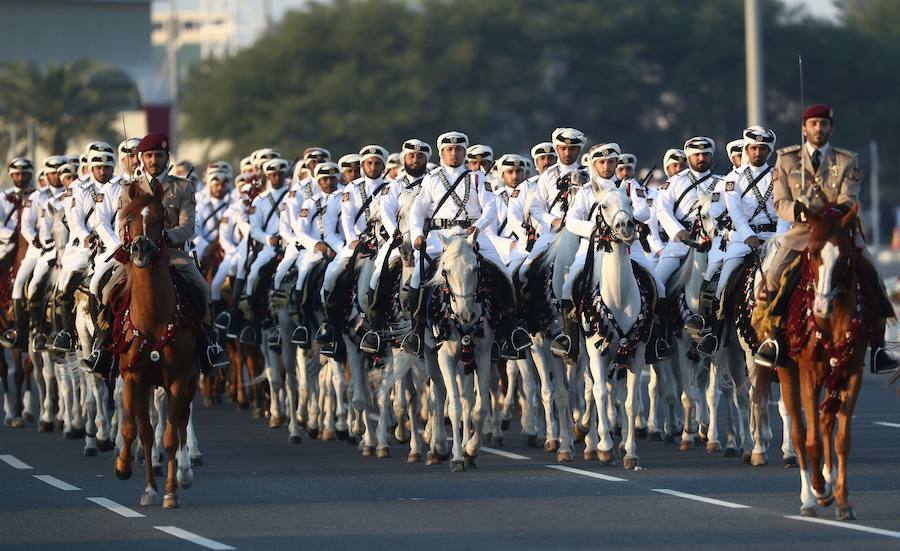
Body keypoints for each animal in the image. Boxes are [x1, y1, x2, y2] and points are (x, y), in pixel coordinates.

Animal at [111, 193, 199, 508]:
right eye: (128, 218)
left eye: (161, 216)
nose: (140, 249)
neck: (153, 319)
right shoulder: (133, 377)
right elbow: (139, 431)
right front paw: (133, 475)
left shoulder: (178, 379)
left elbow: (171, 436)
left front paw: (171, 491)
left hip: (190, 381)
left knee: (182, 418)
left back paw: (185, 470)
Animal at [756, 204, 876, 520]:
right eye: (812, 253)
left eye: (844, 257)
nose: (821, 306)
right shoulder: (807, 372)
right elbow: (809, 439)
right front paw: (819, 491)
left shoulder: (852, 372)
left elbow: (841, 439)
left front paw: (843, 501)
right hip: (788, 371)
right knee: (800, 431)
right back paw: (809, 496)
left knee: (824, 423)